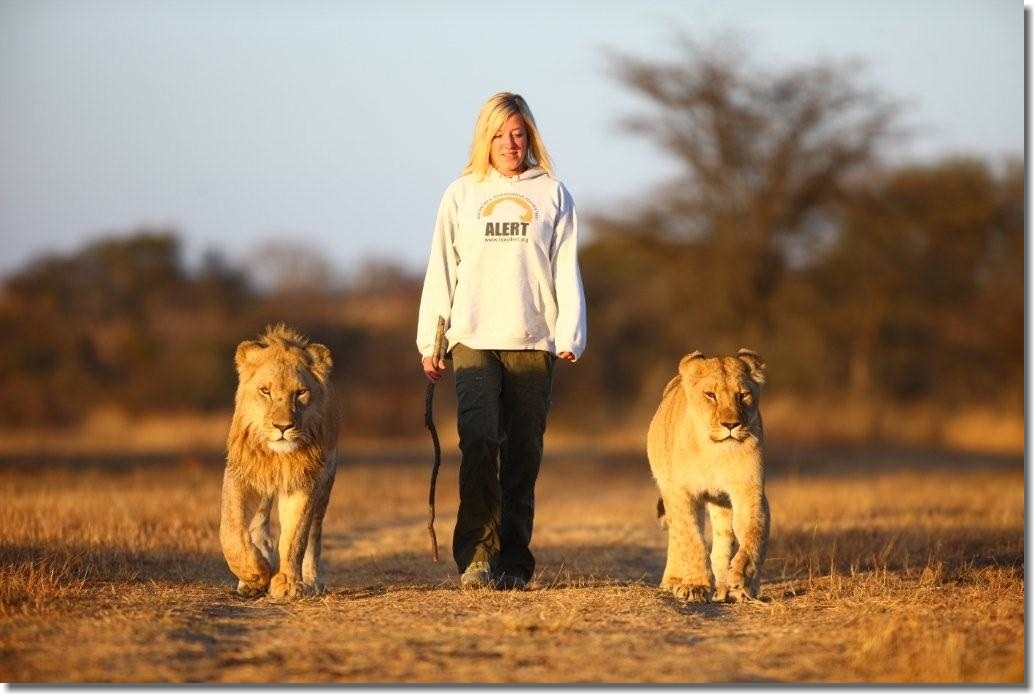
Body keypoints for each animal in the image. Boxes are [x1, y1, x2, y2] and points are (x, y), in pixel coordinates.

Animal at [219, 324, 339, 599]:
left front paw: (286, 583)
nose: (283, 427)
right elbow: (231, 530)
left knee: (314, 535)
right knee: (258, 524)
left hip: (325, 486)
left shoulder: (304, 482)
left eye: (301, 393)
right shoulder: (240, 474)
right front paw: (255, 574)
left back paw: (311, 579)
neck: (276, 456)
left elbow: (295, 538)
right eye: (266, 391)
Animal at [646, 349, 769, 604]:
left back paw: (724, 588)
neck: (715, 450)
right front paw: (696, 586)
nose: (731, 424)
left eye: (743, 395)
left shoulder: (749, 490)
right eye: (711, 395)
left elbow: (755, 534)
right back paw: (673, 580)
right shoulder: (682, 492)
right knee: (676, 536)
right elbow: (691, 539)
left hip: (721, 501)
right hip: (668, 490)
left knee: (724, 537)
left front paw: (743, 579)